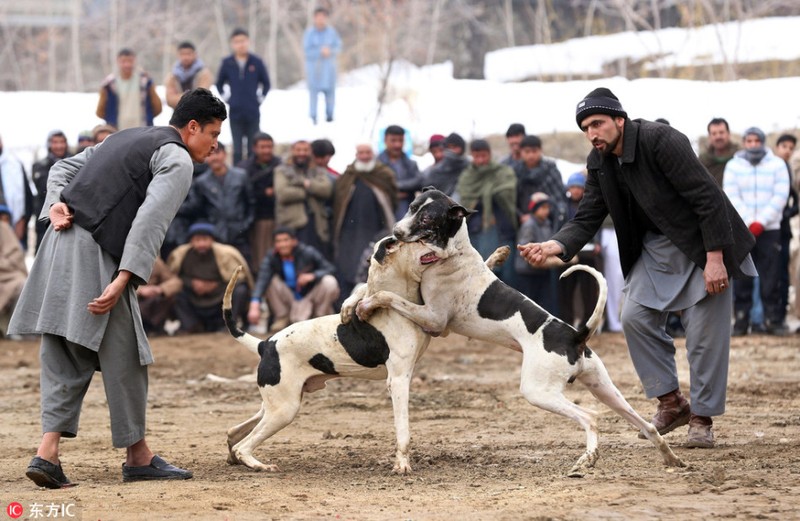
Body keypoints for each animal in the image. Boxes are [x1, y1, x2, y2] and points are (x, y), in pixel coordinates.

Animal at [220, 238, 506, 474]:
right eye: (421, 240)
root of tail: (265, 344)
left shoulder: (438, 324)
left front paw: (497, 256)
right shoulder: (398, 380)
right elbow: (403, 431)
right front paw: (402, 465)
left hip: (276, 403)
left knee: (235, 432)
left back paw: (235, 456)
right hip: (284, 409)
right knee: (245, 445)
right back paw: (258, 464)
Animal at [354, 189, 684, 478]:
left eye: (426, 218)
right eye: (411, 207)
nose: (395, 232)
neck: (453, 253)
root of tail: (577, 335)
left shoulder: (434, 321)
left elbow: (386, 296)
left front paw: (365, 305)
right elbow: (488, 262)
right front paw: (499, 255)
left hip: (539, 391)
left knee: (590, 417)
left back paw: (587, 459)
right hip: (605, 389)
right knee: (647, 426)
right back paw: (671, 458)